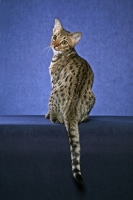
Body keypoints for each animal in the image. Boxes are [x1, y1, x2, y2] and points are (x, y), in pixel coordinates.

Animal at [45, 19, 95, 184]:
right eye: (55, 37)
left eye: (64, 42)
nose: (55, 45)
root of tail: (71, 109)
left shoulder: (54, 81)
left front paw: (46, 114)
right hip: (93, 96)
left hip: (53, 92)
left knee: (56, 119)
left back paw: (50, 116)